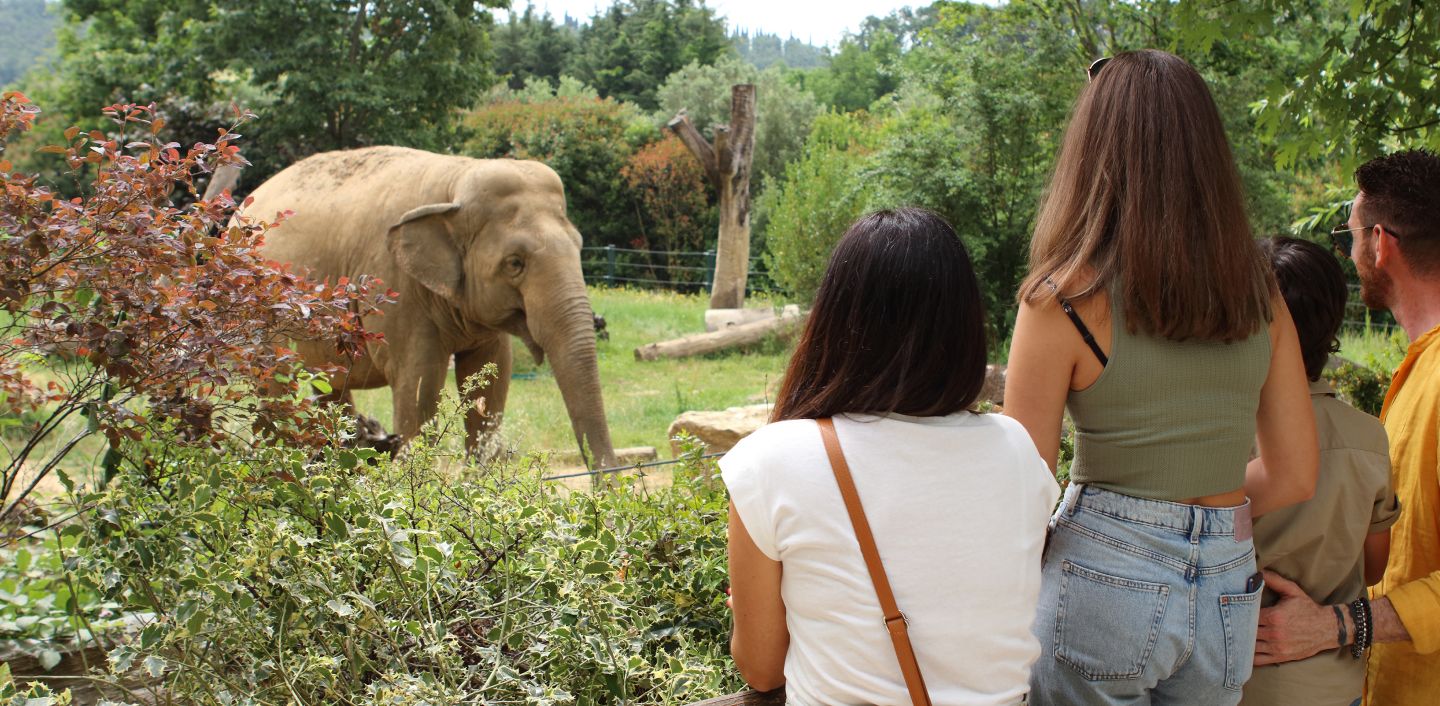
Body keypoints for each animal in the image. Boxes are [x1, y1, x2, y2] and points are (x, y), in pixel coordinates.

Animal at [234, 144, 613, 469]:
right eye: (515, 263)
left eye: (579, 246)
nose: (606, 491)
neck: (456, 179)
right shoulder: (395, 287)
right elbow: (419, 386)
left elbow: (492, 381)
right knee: (277, 387)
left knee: (328, 390)